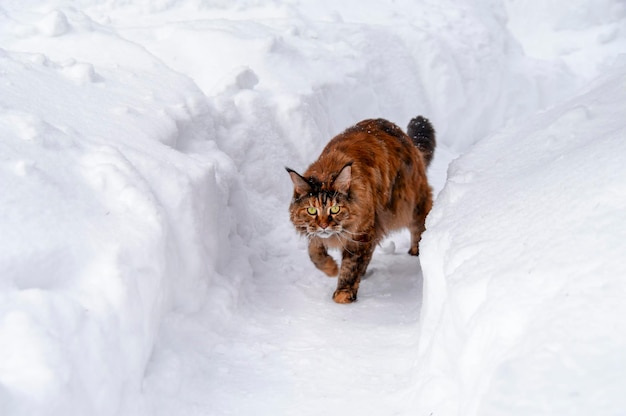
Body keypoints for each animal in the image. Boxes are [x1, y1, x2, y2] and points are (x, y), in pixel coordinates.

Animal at [284, 115, 434, 304]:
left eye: (335, 209)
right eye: (311, 211)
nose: (324, 225)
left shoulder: (361, 234)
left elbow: (350, 265)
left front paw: (343, 293)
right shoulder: (315, 232)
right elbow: (314, 253)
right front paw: (331, 268)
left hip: (408, 202)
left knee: (420, 223)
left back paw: (417, 250)